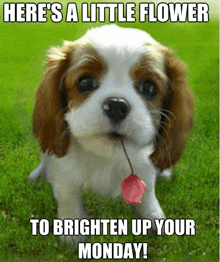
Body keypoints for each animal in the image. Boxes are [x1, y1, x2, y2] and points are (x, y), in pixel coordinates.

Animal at [28, 25, 192, 246]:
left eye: (149, 87)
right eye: (85, 82)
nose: (116, 105)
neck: (107, 156)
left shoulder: (145, 164)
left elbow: (147, 192)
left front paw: (153, 217)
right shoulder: (63, 171)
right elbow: (67, 195)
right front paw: (71, 229)